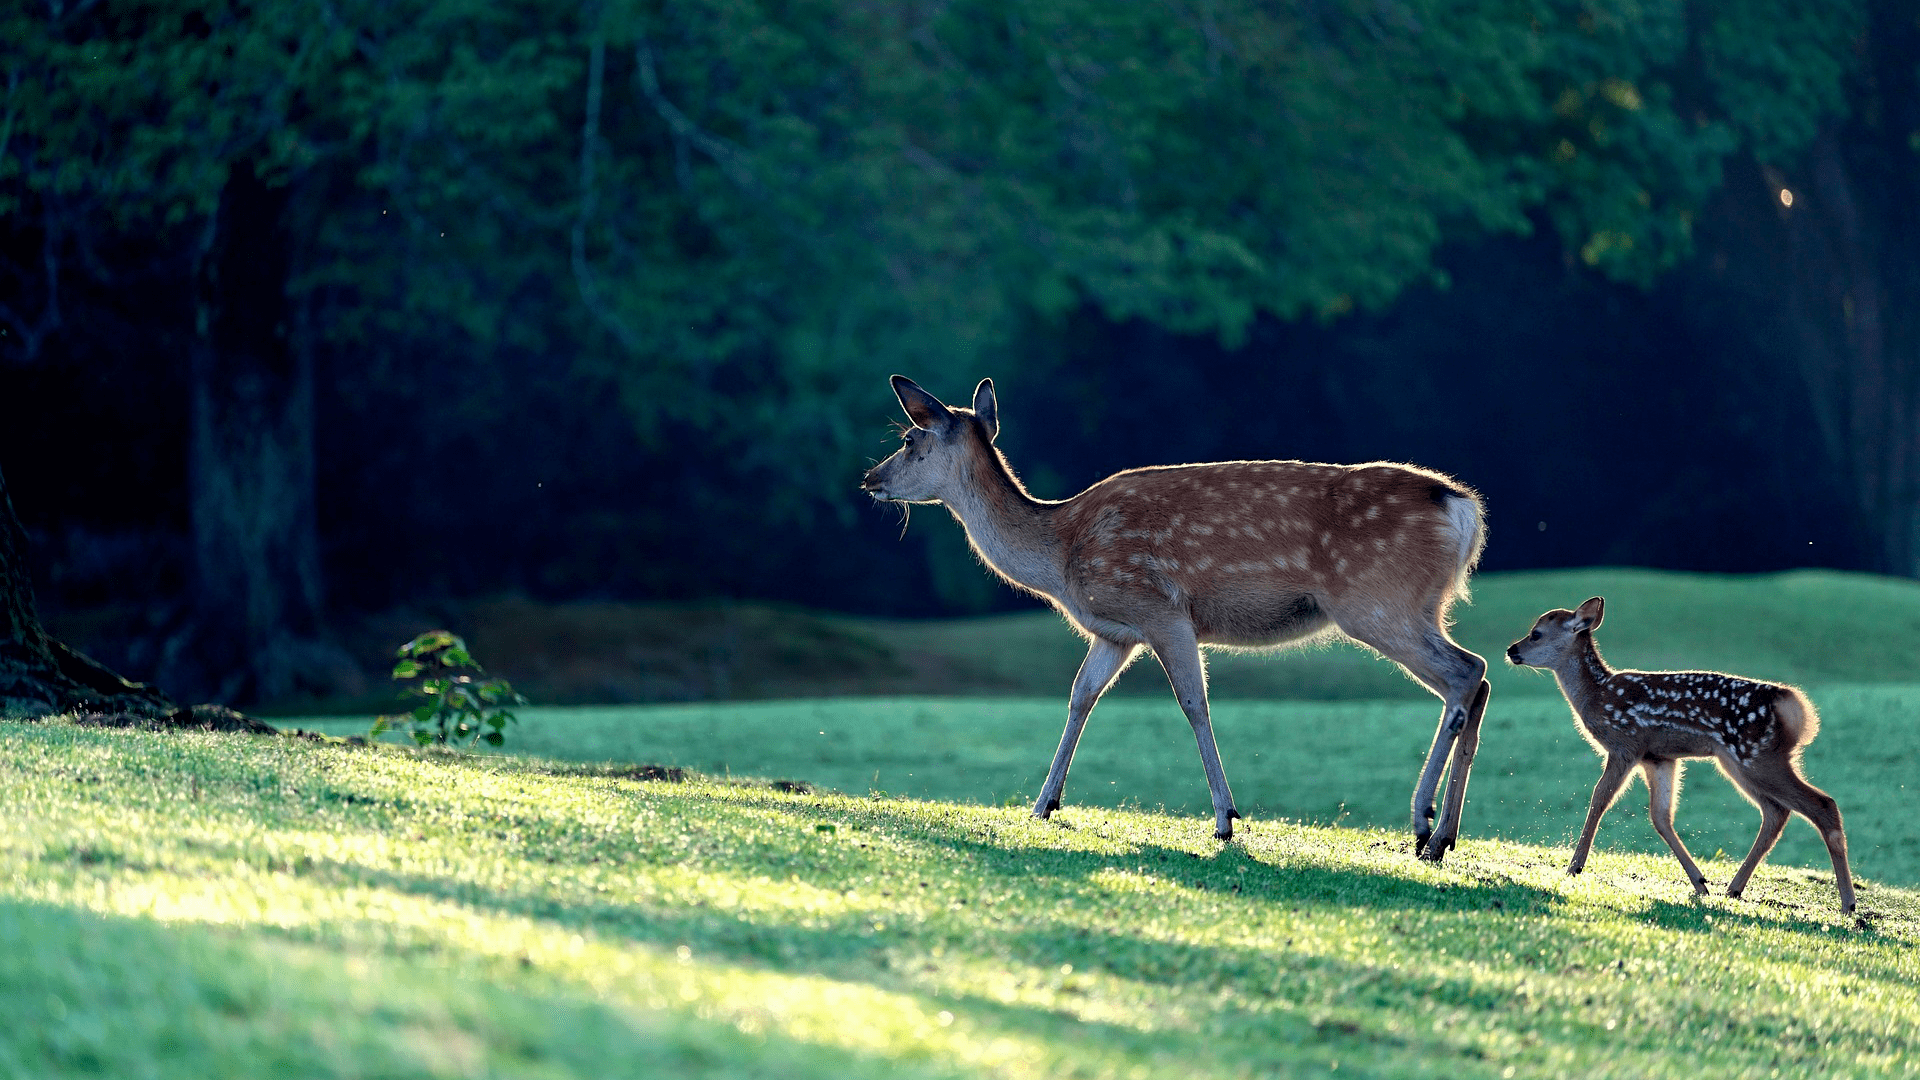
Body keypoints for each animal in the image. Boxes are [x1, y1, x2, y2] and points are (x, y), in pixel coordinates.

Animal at [864, 374, 1489, 853]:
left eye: (911, 440)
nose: (870, 479)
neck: (1062, 554)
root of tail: (1462, 510)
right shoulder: (1115, 632)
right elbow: (1080, 697)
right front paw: (1043, 803)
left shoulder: (1160, 610)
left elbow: (1193, 703)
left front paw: (1226, 819)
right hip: (1414, 607)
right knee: (1478, 676)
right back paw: (1444, 836)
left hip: (1377, 601)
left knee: (1466, 673)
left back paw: (1422, 822)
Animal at [1505, 595, 1850, 907]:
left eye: (1536, 633)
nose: (1511, 650)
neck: (1596, 696)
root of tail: (1794, 707)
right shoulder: (1659, 758)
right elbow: (1660, 816)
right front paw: (1700, 883)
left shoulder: (1625, 744)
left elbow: (1600, 797)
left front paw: (1574, 867)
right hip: (1739, 761)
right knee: (1776, 811)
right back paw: (1733, 888)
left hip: (1757, 755)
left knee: (1822, 805)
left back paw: (1849, 905)